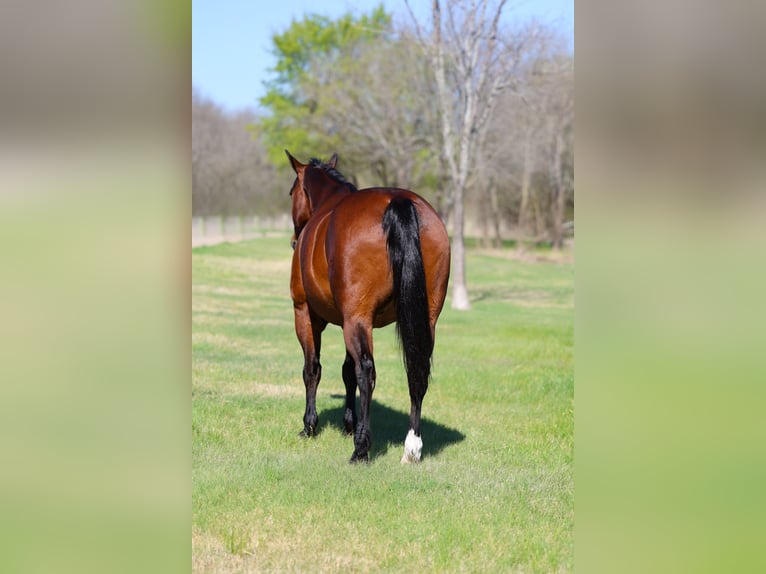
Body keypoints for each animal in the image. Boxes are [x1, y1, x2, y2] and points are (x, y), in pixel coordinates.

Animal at [285, 151, 451, 463]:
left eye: (292, 192)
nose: (293, 240)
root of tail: (398, 202)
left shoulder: (307, 314)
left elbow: (314, 369)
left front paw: (310, 425)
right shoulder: (347, 319)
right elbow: (346, 372)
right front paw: (349, 424)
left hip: (355, 318)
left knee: (367, 372)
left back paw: (361, 447)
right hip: (425, 319)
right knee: (417, 370)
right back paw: (412, 446)